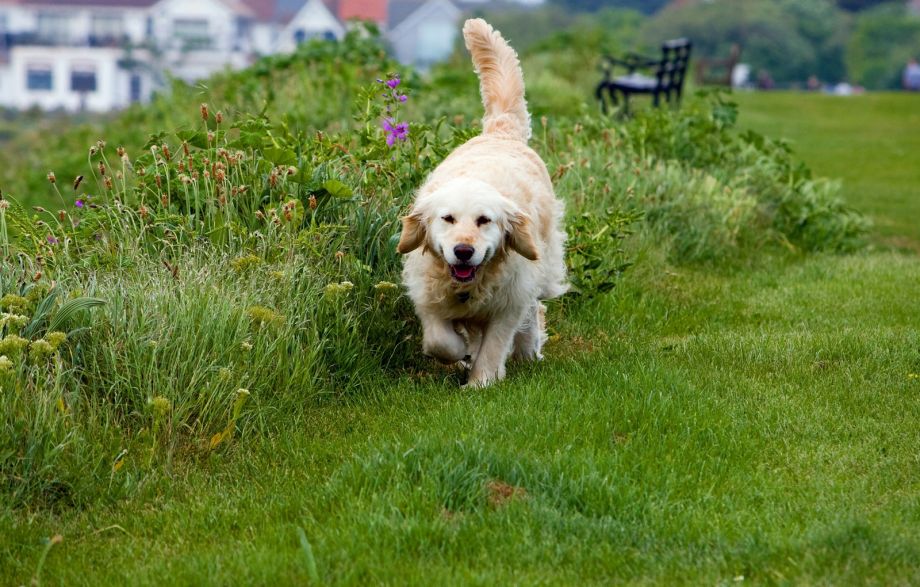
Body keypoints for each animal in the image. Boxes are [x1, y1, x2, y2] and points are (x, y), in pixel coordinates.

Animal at [397, 18, 567, 388]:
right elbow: (440, 340)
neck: (468, 286)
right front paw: (460, 354)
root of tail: (499, 132)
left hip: (543, 266)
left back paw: (527, 350)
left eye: (484, 220)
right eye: (447, 218)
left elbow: (495, 343)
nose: (463, 251)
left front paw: (481, 383)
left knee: (535, 310)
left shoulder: (508, 302)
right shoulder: (428, 296)